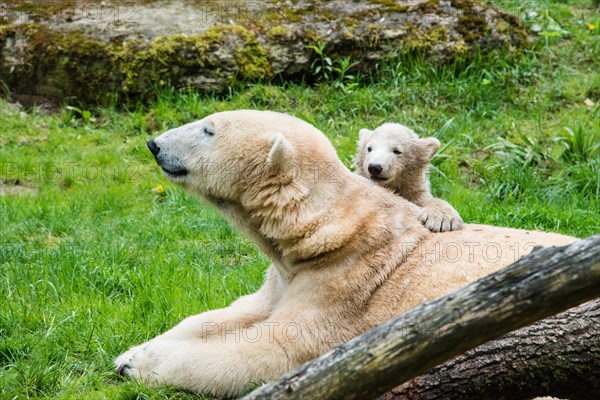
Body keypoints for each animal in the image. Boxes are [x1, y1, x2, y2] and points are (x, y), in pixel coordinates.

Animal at [116, 109, 576, 396]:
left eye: (209, 130)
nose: (154, 144)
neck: (320, 230)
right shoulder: (285, 275)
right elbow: (231, 312)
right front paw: (133, 351)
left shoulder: (346, 280)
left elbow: (275, 350)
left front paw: (139, 365)